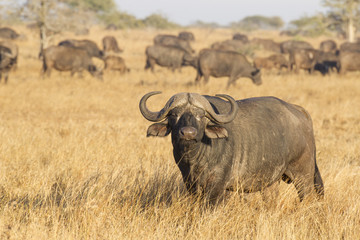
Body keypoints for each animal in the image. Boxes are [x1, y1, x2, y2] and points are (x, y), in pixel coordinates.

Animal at [139, 92, 324, 204]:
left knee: (307, 197)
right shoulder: (190, 184)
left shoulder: (217, 187)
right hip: (271, 181)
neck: (195, 159)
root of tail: (301, 112)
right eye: (174, 114)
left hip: (304, 175)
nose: (188, 133)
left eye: (201, 116)